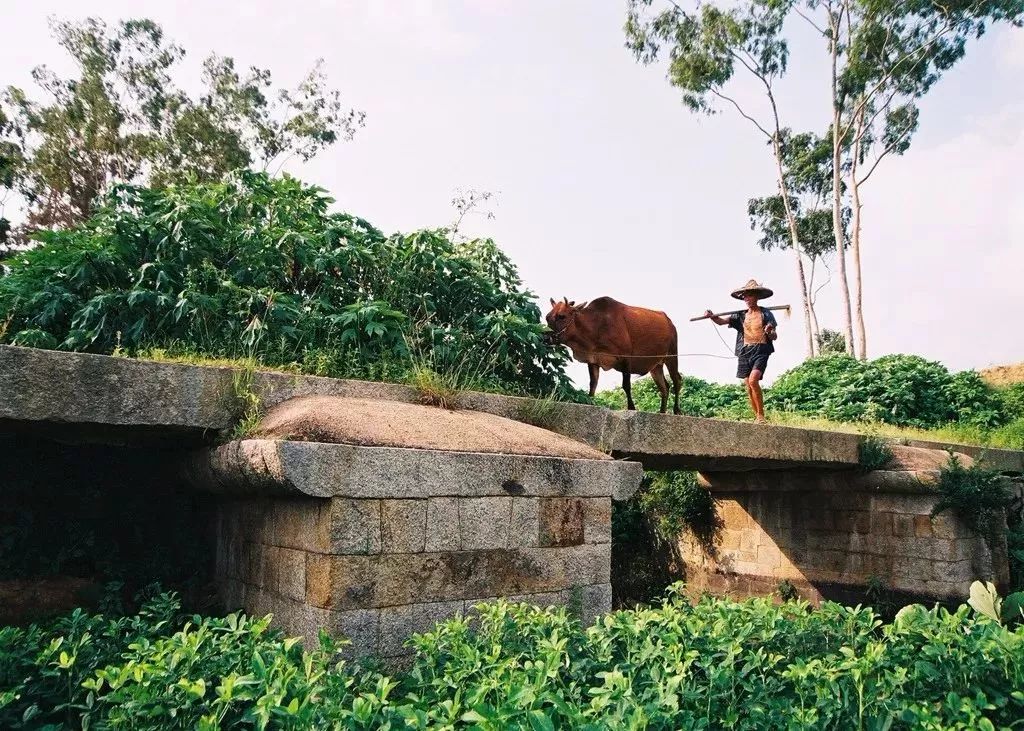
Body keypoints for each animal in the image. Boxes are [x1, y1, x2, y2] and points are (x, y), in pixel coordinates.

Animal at [544, 294, 679, 409]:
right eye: (547, 317)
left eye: (561, 316)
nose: (545, 337)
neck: (597, 325)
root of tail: (669, 322)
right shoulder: (593, 360)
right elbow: (593, 384)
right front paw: (590, 402)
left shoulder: (625, 358)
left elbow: (626, 385)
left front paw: (631, 408)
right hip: (656, 366)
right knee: (665, 387)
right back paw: (662, 411)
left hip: (672, 356)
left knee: (676, 380)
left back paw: (676, 410)